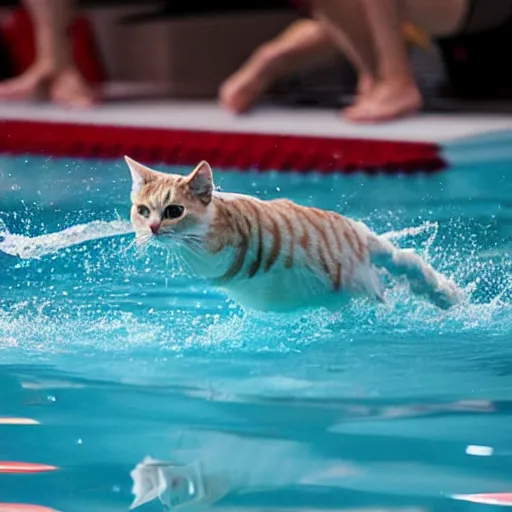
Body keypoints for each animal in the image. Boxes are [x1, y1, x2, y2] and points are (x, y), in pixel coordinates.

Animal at [126, 156, 462, 312]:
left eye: (173, 211)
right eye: (142, 210)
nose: (153, 228)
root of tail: (357, 231)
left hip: (359, 269)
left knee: (400, 265)